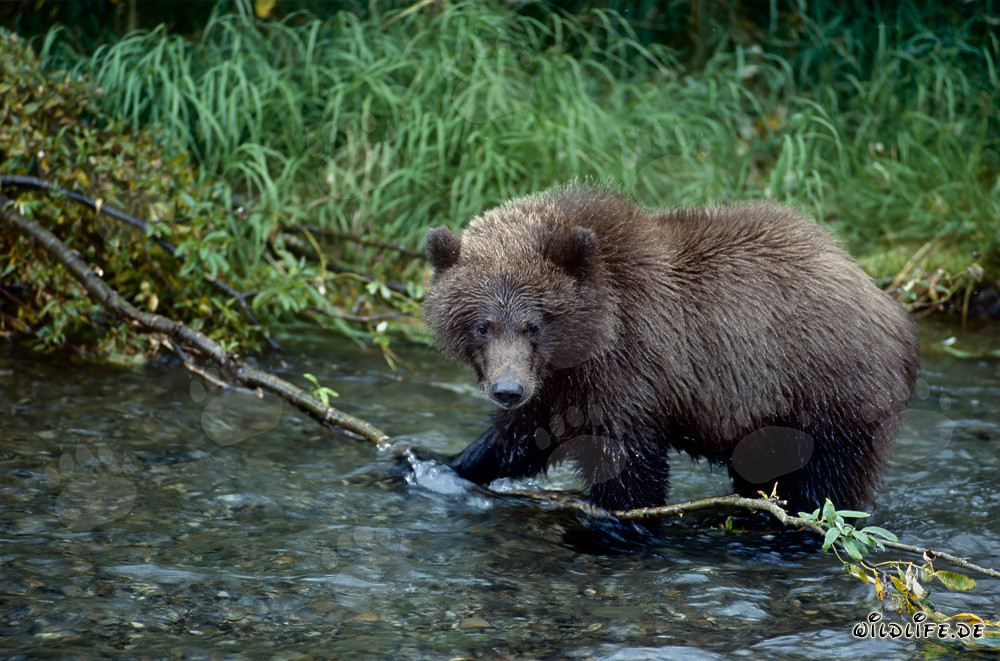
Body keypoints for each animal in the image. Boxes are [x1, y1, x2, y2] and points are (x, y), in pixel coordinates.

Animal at [424, 183, 920, 514]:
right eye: (482, 326)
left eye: (534, 325)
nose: (507, 389)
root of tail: (886, 302)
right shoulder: (559, 387)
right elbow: (523, 436)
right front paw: (442, 463)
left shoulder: (630, 369)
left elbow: (627, 470)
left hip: (827, 394)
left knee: (823, 486)